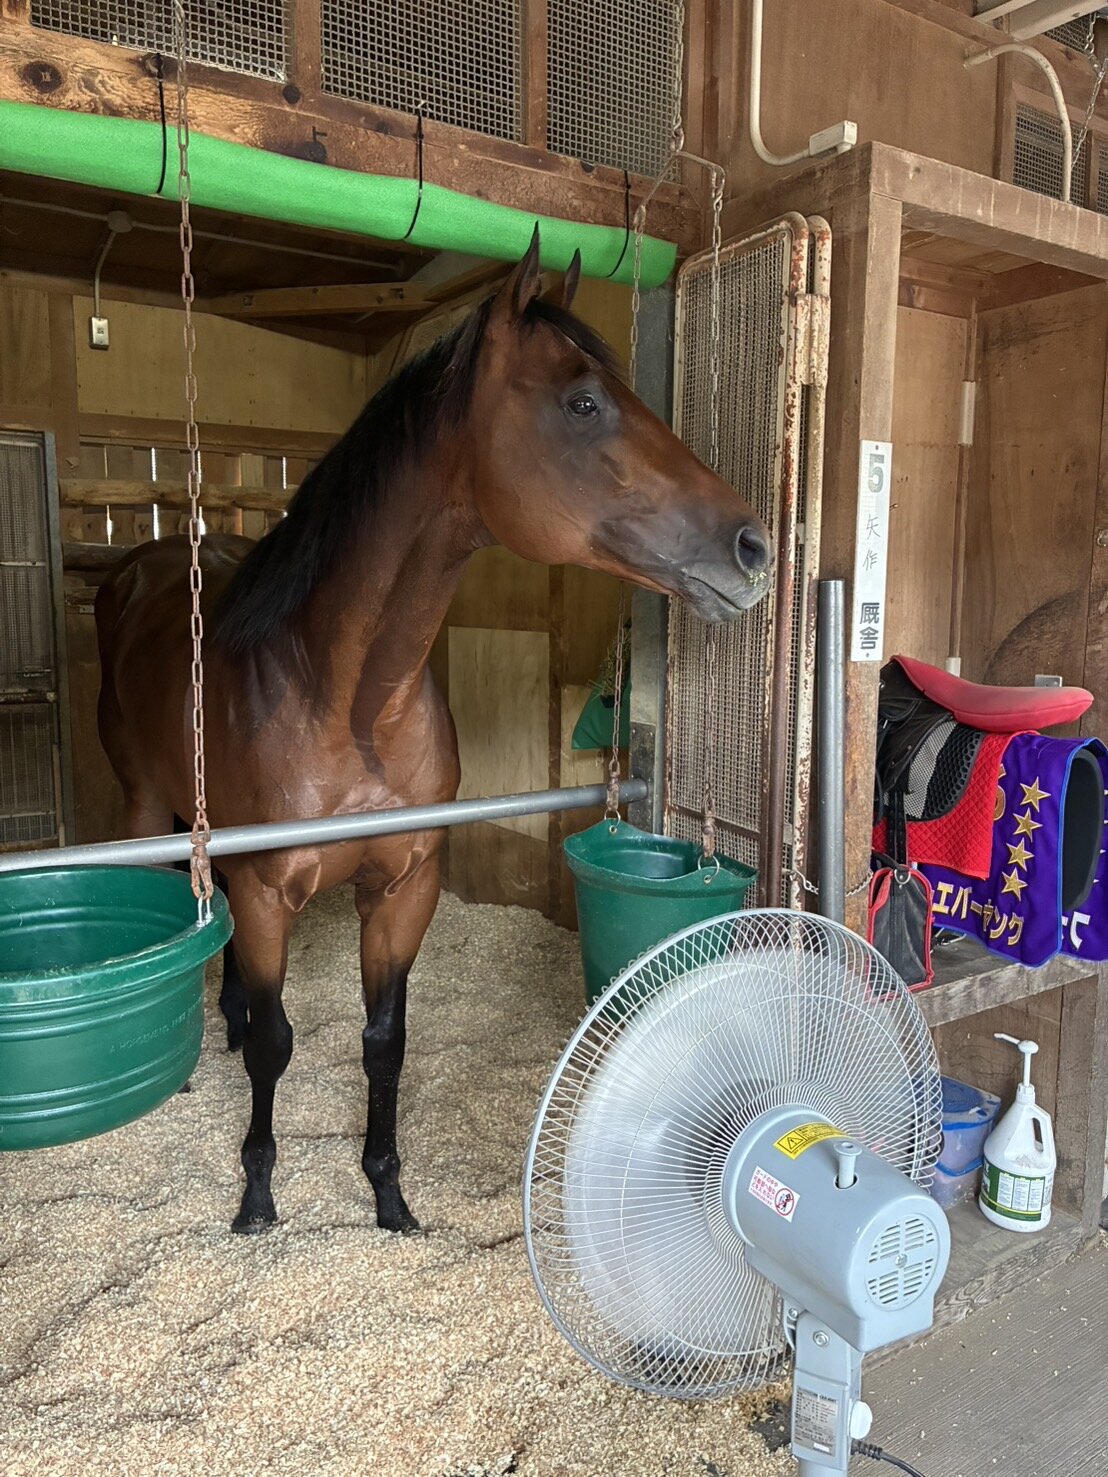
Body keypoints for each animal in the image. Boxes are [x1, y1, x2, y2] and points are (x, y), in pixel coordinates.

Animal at [95, 232, 773, 1235]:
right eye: (583, 402)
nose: (753, 547)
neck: (348, 703)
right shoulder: (266, 891)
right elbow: (278, 1046)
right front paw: (257, 1193)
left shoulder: (405, 883)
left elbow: (385, 1040)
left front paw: (388, 1190)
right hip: (144, 809)